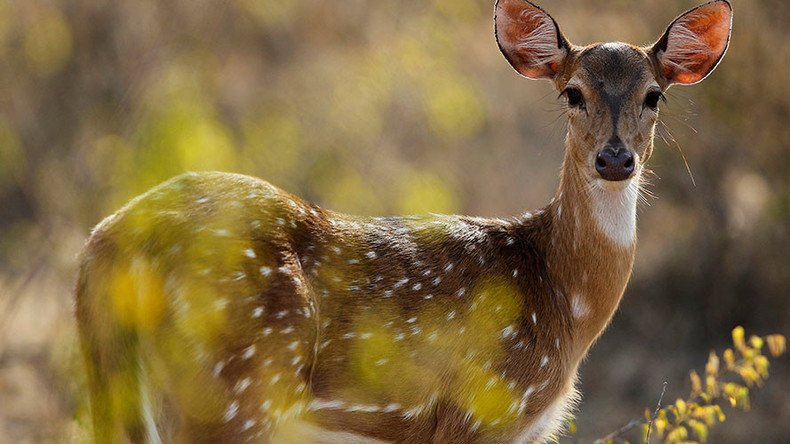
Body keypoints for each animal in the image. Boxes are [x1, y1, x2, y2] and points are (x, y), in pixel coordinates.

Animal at [76, 1, 736, 442]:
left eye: (655, 95)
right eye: (571, 92)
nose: (615, 159)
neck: (560, 301)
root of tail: (107, 242)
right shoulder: (477, 415)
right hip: (233, 389)